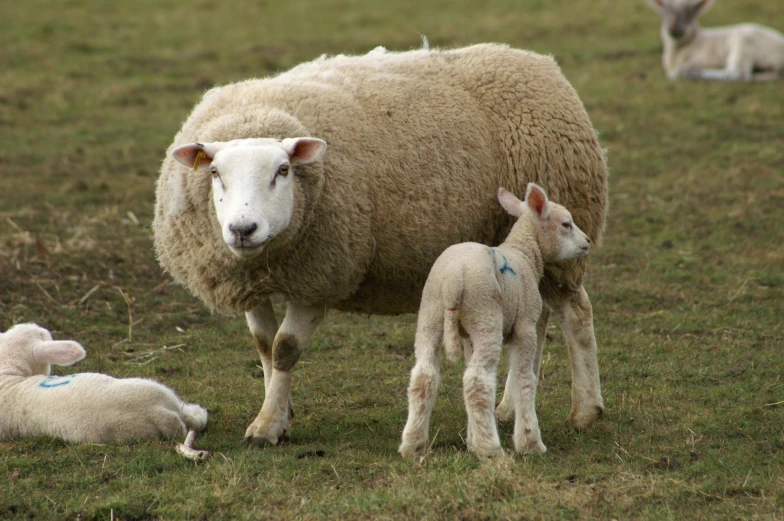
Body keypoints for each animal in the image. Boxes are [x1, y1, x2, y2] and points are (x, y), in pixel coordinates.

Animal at [402, 184, 592, 460]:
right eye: (566, 224)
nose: (587, 242)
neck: (525, 253)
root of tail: (454, 279)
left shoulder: (468, 337)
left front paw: (472, 438)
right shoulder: (526, 326)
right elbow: (524, 378)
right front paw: (529, 442)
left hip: (431, 314)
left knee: (424, 376)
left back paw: (413, 445)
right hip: (486, 316)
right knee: (477, 381)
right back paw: (490, 448)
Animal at [644, 0, 784, 80]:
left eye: (689, 13)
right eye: (665, 12)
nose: (672, 28)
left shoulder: (702, 59)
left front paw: (686, 71)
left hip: (743, 45)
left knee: (736, 73)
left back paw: (694, 74)